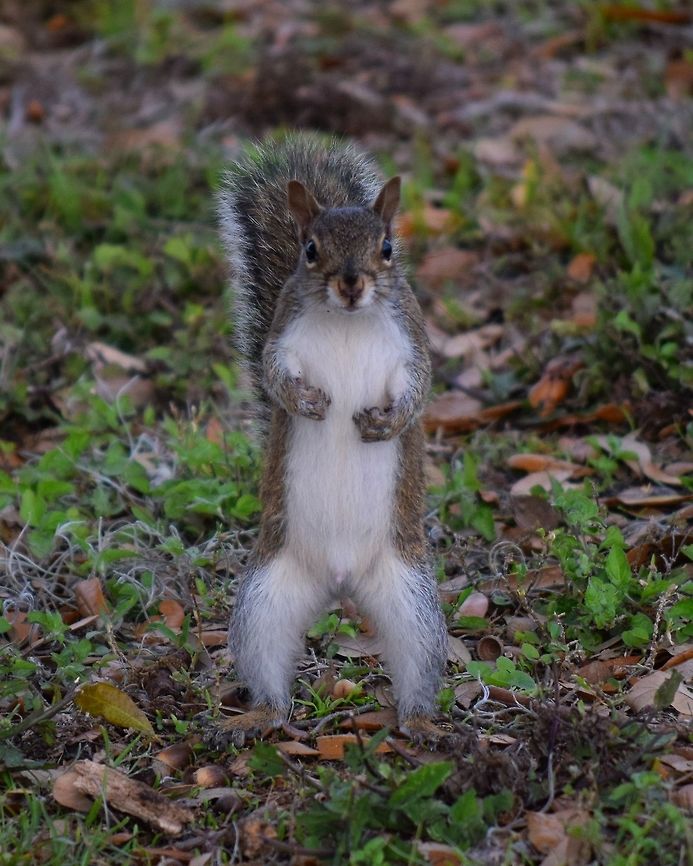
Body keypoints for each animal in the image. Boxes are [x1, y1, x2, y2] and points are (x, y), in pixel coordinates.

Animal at [216, 133, 447, 742]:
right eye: (310, 250)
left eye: (387, 248)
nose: (350, 283)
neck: (347, 320)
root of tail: (340, 583)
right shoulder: (281, 338)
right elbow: (274, 373)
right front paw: (305, 403)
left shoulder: (413, 341)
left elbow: (419, 386)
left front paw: (385, 423)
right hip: (265, 600)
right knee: (269, 672)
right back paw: (260, 715)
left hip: (411, 603)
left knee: (418, 665)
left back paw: (422, 723)